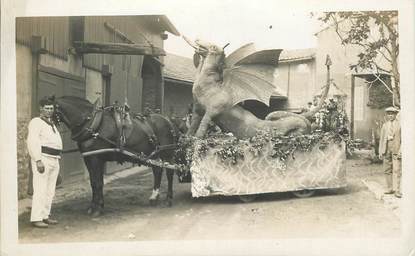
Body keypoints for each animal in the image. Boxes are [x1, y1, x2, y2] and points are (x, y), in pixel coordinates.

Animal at [52, 95, 180, 216]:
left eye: (50, 110)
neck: (92, 124)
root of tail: (167, 120)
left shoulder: (96, 159)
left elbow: (97, 183)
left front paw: (97, 209)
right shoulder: (89, 158)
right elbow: (94, 182)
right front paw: (95, 206)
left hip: (167, 153)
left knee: (169, 173)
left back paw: (168, 199)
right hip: (153, 153)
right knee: (157, 171)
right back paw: (154, 197)